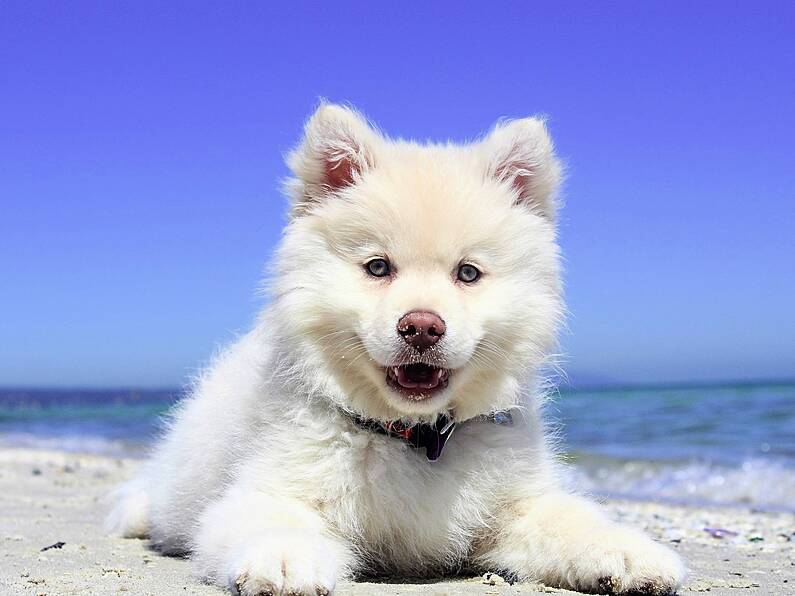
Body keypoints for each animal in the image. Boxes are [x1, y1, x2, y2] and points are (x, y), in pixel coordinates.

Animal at [109, 105, 688, 592]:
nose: (422, 327)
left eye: (468, 274)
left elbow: (571, 520)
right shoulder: (268, 487)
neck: (415, 438)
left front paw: (629, 553)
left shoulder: (515, 506)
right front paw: (285, 558)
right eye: (378, 267)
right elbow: (272, 519)